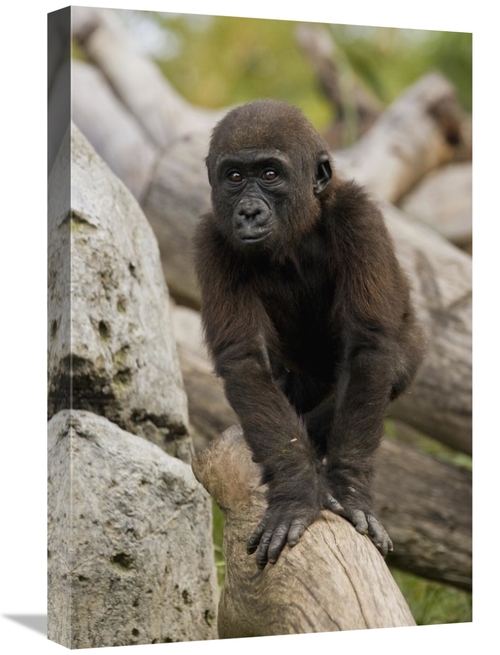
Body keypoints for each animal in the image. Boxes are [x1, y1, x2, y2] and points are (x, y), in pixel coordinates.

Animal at [193, 99, 424, 569]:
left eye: (269, 174)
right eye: (234, 177)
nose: (248, 211)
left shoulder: (359, 217)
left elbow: (370, 349)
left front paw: (348, 489)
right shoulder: (212, 241)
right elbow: (244, 360)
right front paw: (296, 489)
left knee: (393, 365)